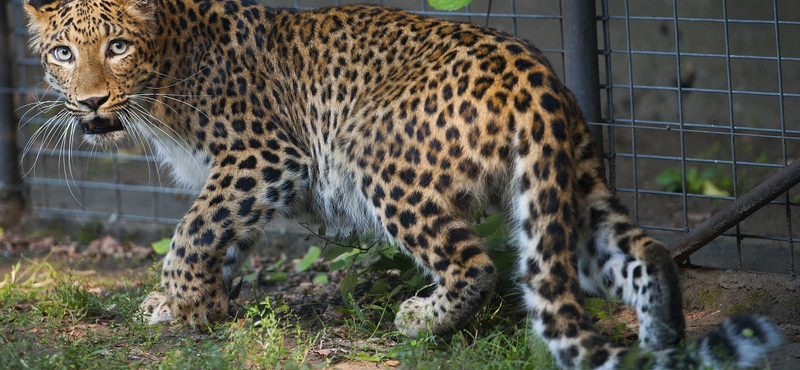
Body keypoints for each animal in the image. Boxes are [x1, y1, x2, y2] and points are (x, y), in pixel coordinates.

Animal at [21, 0, 784, 368]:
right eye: (61, 53)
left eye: (117, 46)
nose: (90, 102)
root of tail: (538, 76)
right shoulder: (240, 177)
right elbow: (221, 238)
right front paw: (204, 306)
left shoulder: (267, 156)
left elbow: (193, 229)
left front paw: (172, 305)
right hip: (567, 190)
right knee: (643, 255)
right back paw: (662, 341)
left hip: (377, 157)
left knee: (473, 262)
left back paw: (424, 319)